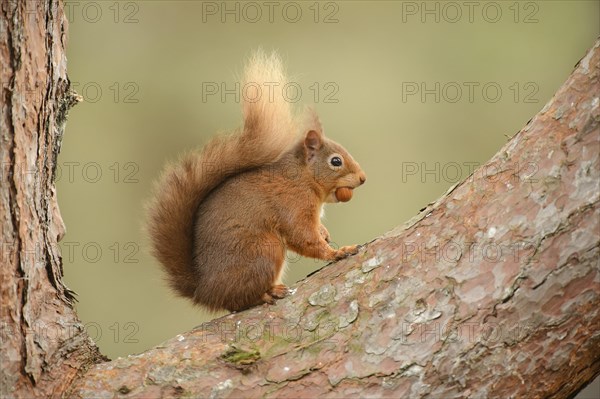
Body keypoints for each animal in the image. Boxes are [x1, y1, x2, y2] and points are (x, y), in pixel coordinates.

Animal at [148, 50, 368, 312]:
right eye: (336, 161)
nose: (363, 178)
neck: (303, 178)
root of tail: (205, 292)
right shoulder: (293, 204)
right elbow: (303, 237)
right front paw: (336, 252)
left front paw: (325, 232)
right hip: (264, 250)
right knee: (240, 300)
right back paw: (267, 294)